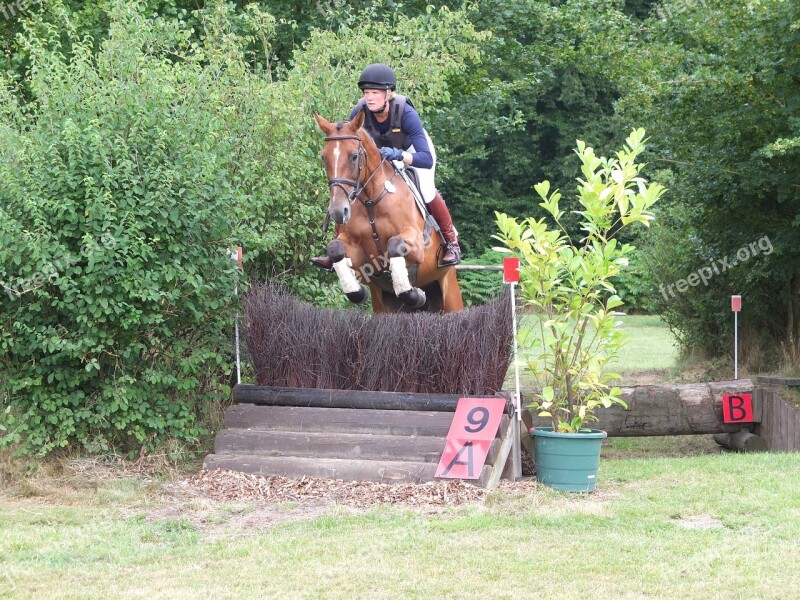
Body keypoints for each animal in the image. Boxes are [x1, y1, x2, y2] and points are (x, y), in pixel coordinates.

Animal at [312, 110, 462, 314]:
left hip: (450, 295)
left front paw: (412, 293)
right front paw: (356, 291)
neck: (371, 199)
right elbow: (335, 249)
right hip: (382, 305)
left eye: (354, 156)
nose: (337, 211)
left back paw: (450, 253)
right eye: (324, 157)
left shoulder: (416, 244)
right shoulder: (357, 250)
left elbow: (394, 245)